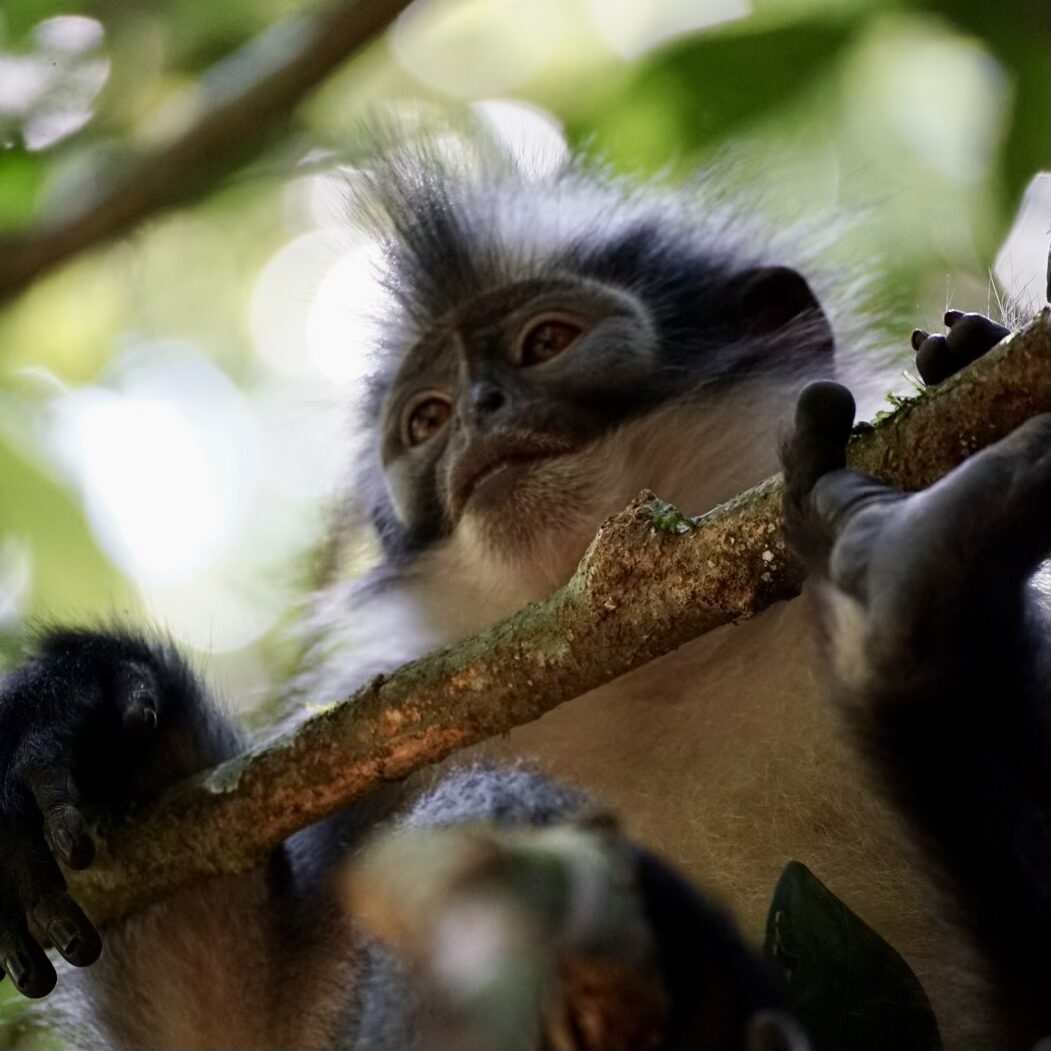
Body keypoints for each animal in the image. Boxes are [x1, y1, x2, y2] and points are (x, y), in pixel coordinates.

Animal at [0, 142, 1026, 1048]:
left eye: (546, 343)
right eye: (426, 420)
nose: (479, 412)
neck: (638, 675)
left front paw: (953, 395)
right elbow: (229, 1026)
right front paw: (79, 723)